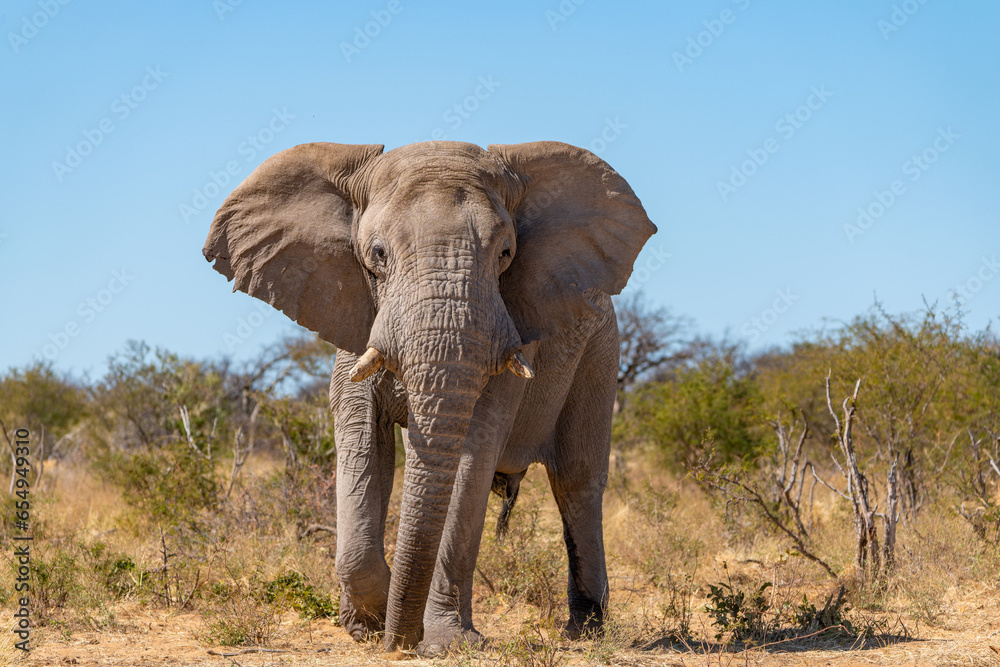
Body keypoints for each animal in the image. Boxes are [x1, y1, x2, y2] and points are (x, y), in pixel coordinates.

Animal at [202, 140, 655, 654]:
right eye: (377, 254)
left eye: (505, 253)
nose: (399, 643)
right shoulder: (355, 313)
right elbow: (361, 438)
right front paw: (369, 625)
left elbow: (474, 454)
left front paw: (445, 642)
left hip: (601, 349)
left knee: (577, 481)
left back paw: (586, 631)